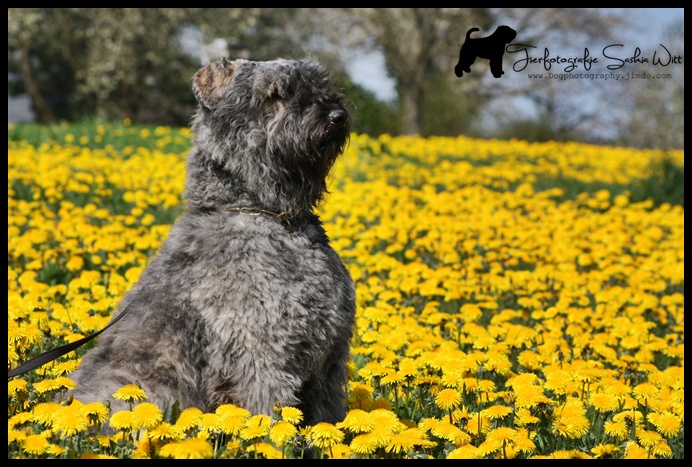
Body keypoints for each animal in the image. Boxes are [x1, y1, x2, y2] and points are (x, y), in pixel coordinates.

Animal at [65, 58, 354, 432]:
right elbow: (273, 417)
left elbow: (329, 417)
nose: (337, 115)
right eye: (275, 95)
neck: (265, 213)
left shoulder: (331, 358)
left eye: (320, 82)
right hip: (139, 388)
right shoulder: (265, 355)